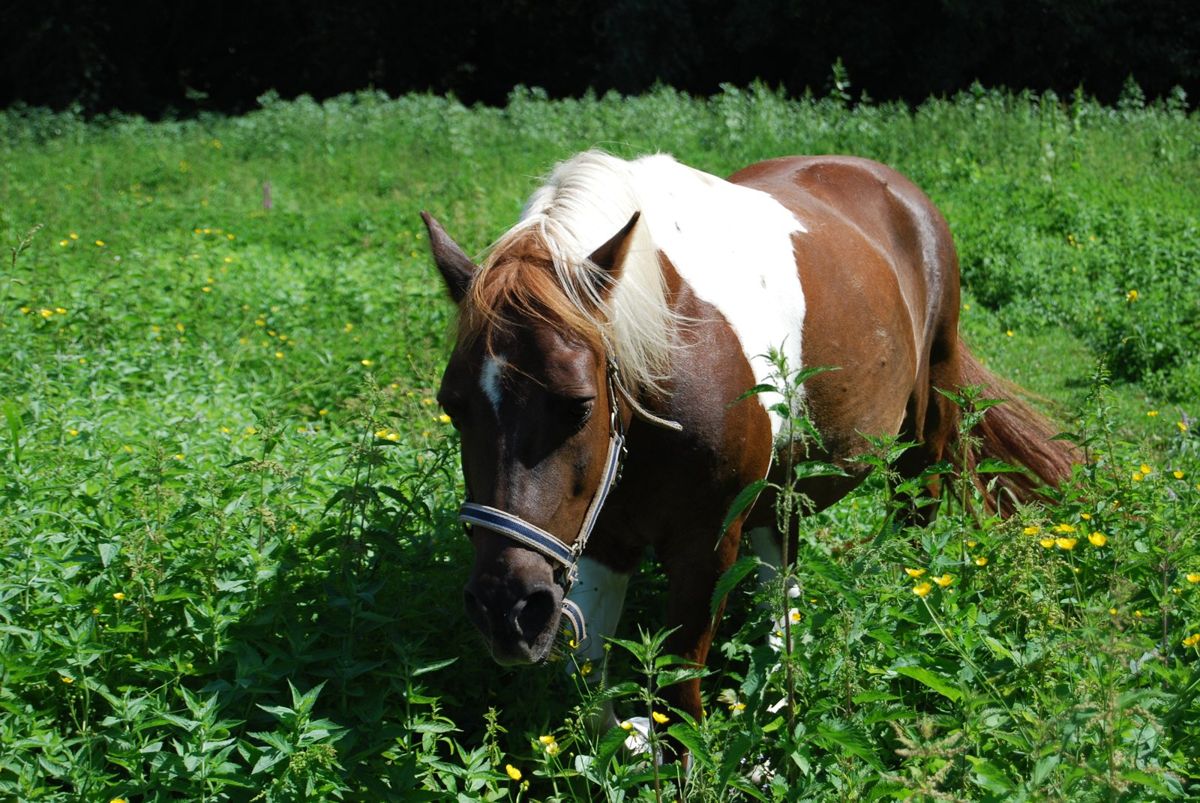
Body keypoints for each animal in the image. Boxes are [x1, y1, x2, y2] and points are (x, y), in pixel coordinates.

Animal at [421, 150, 1076, 732]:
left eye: (579, 405)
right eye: (453, 406)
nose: (506, 611)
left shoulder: (707, 545)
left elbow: (680, 692)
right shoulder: (602, 536)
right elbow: (591, 682)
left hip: (926, 425)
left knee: (917, 515)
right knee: (780, 585)